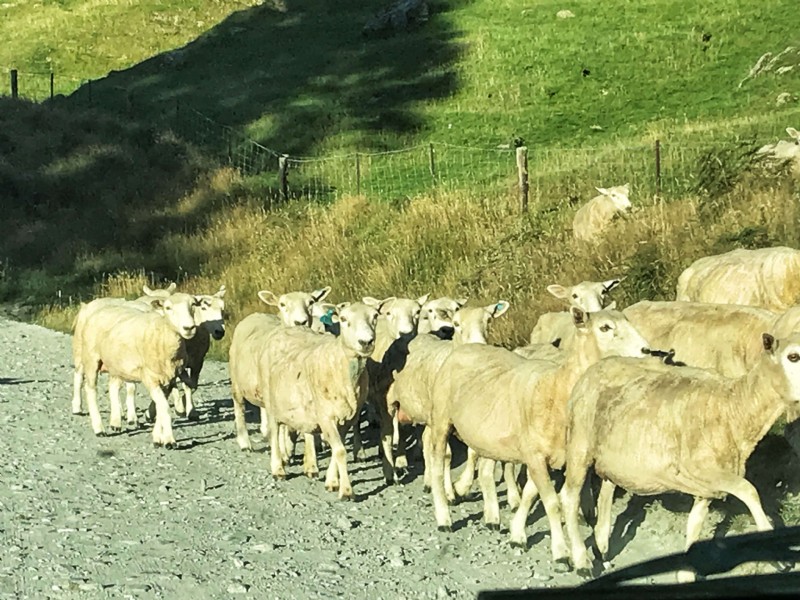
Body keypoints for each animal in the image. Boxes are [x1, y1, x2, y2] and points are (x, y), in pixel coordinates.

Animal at [260, 300, 390, 496]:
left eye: (375, 316)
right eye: (343, 319)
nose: (366, 342)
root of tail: (288, 328)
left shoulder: (347, 419)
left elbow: (337, 450)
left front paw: (332, 481)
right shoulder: (326, 417)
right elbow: (341, 451)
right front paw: (346, 491)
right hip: (270, 403)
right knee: (274, 434)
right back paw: (278, 469)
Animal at [424, 310, 648, 564]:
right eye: (605, 328)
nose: (646, 350)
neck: (557, 388)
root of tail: (465, 347)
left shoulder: (544, 457)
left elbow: (531, 495)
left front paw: (517, 534)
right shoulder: (535, 455)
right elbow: (551, 503)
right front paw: (560, 551)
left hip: (485, 436)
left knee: (484, 471)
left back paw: (491, 516)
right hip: (441, 419)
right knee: (437, 464)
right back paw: (444, 516)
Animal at [560, 330, 800, 580]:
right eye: (793, 356)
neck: (733, 408)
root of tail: (596, 367)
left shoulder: (707, 487)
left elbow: (695, 524)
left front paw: (686, 574)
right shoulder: (701, 468)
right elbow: (748, 490)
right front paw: (774, 553)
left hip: (613, 458)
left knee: (605, 494)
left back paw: (603, 549)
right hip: (579, 443)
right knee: (569, 496)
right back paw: (582, 561)